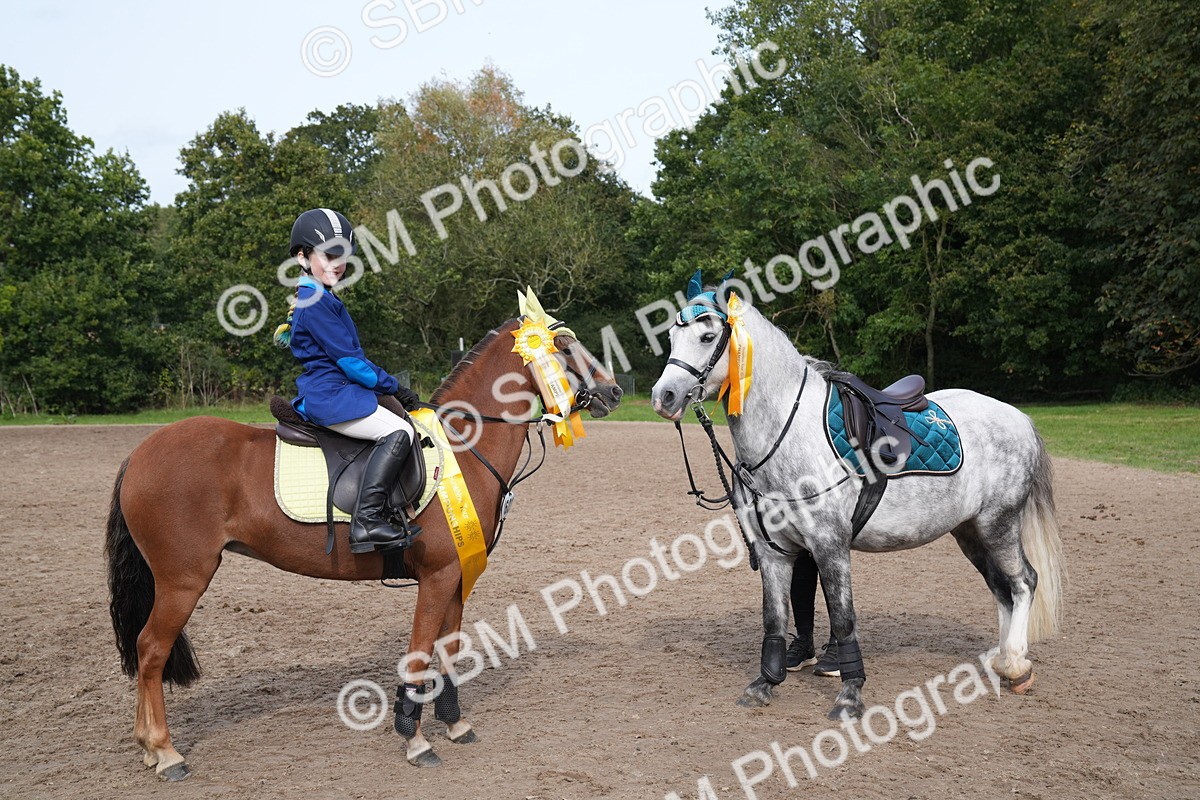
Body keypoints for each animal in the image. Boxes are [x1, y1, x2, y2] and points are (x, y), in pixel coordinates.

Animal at [105, 310, 622, 780]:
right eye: (565, 347)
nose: (614, 392)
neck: (462, 445)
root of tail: (139, 454)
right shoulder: (437, 576)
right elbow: (419, 653)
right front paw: (415, 741)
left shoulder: (459, 572)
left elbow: (449, 649)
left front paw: (455, 725)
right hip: (183, 579)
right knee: (150, 650)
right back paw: (165, 752)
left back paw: (148, 748)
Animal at [650, 285, 1063, 720]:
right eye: (671, 338)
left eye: (707, 337)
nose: (663, 396)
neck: (789, 432)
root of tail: (1019, 417)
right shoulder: (774, 551)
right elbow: (774, 619)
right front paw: (764, 684)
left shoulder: (830, 546)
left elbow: (844, 619)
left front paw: (850, 695)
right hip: (969, 532)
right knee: (1001, 588)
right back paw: (1001, 661)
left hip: (998, 524)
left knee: (1023, 582)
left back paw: (1016, 664)